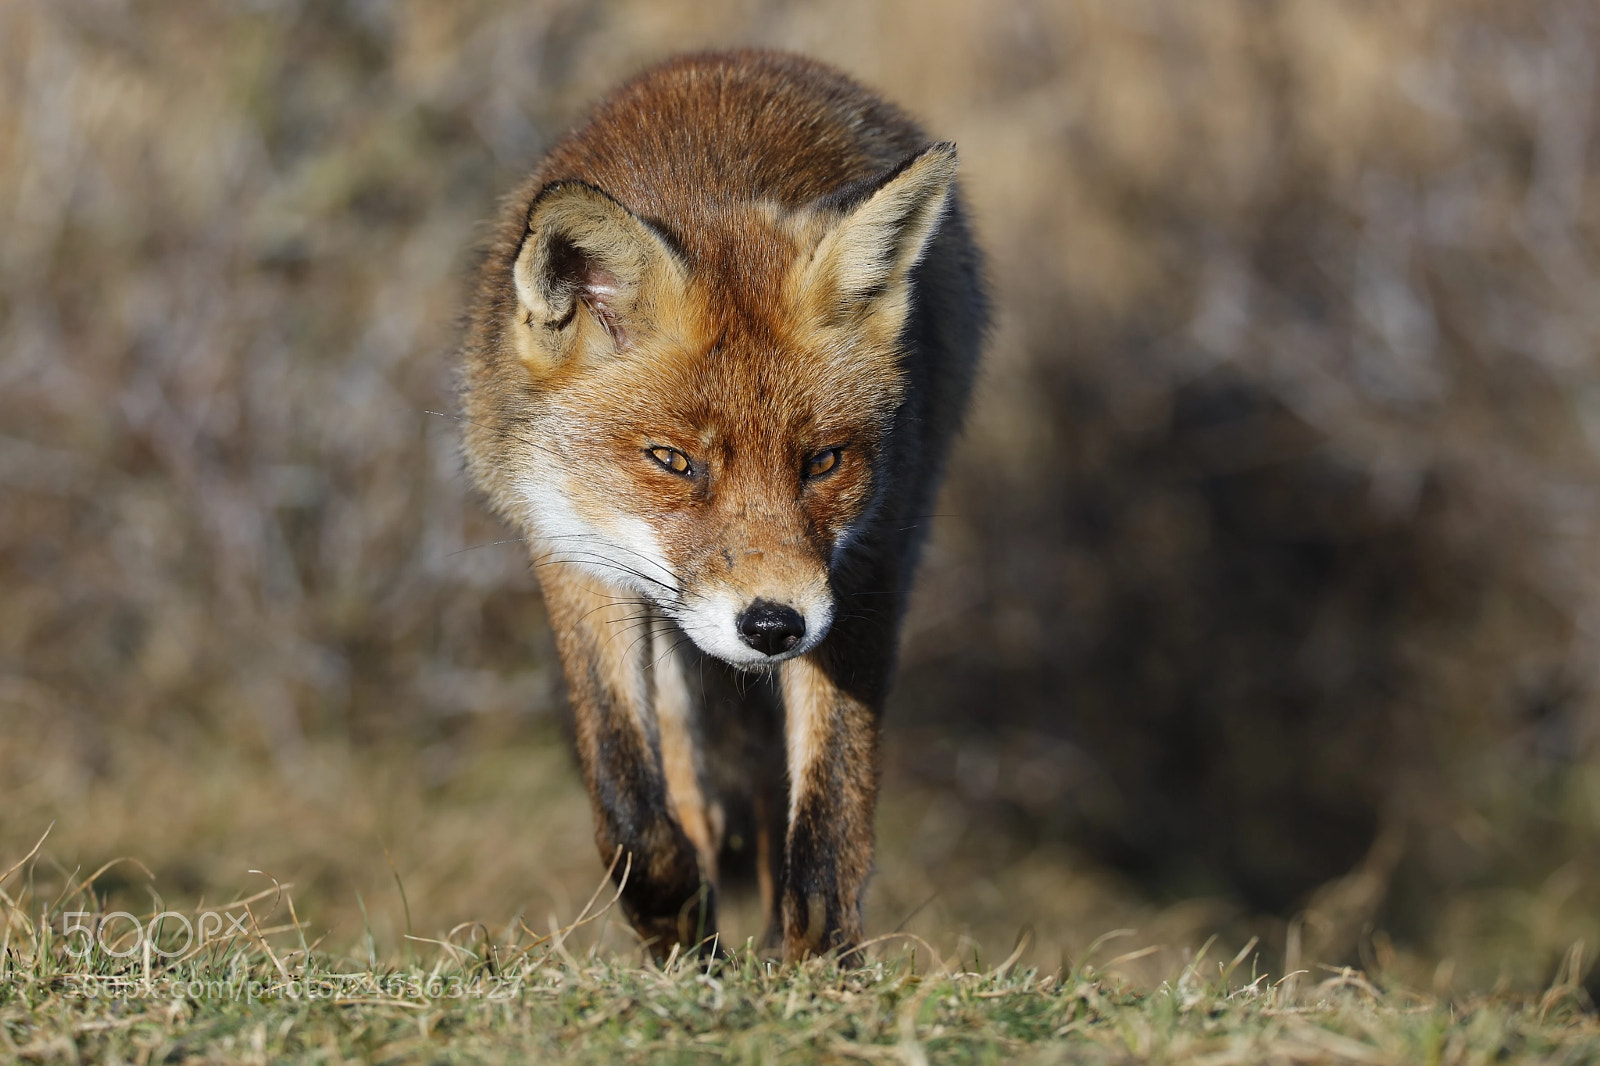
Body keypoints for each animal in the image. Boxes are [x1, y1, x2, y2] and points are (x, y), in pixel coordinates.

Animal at [457, 49, 986, 961]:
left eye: (823, 462)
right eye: (674, 461)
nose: (773, 625)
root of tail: (725, 59)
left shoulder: (866, 569)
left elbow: (831, 813)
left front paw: (815, 963)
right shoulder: (573, 557)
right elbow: (628, 795)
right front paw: (675, 927)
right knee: (695, 788)